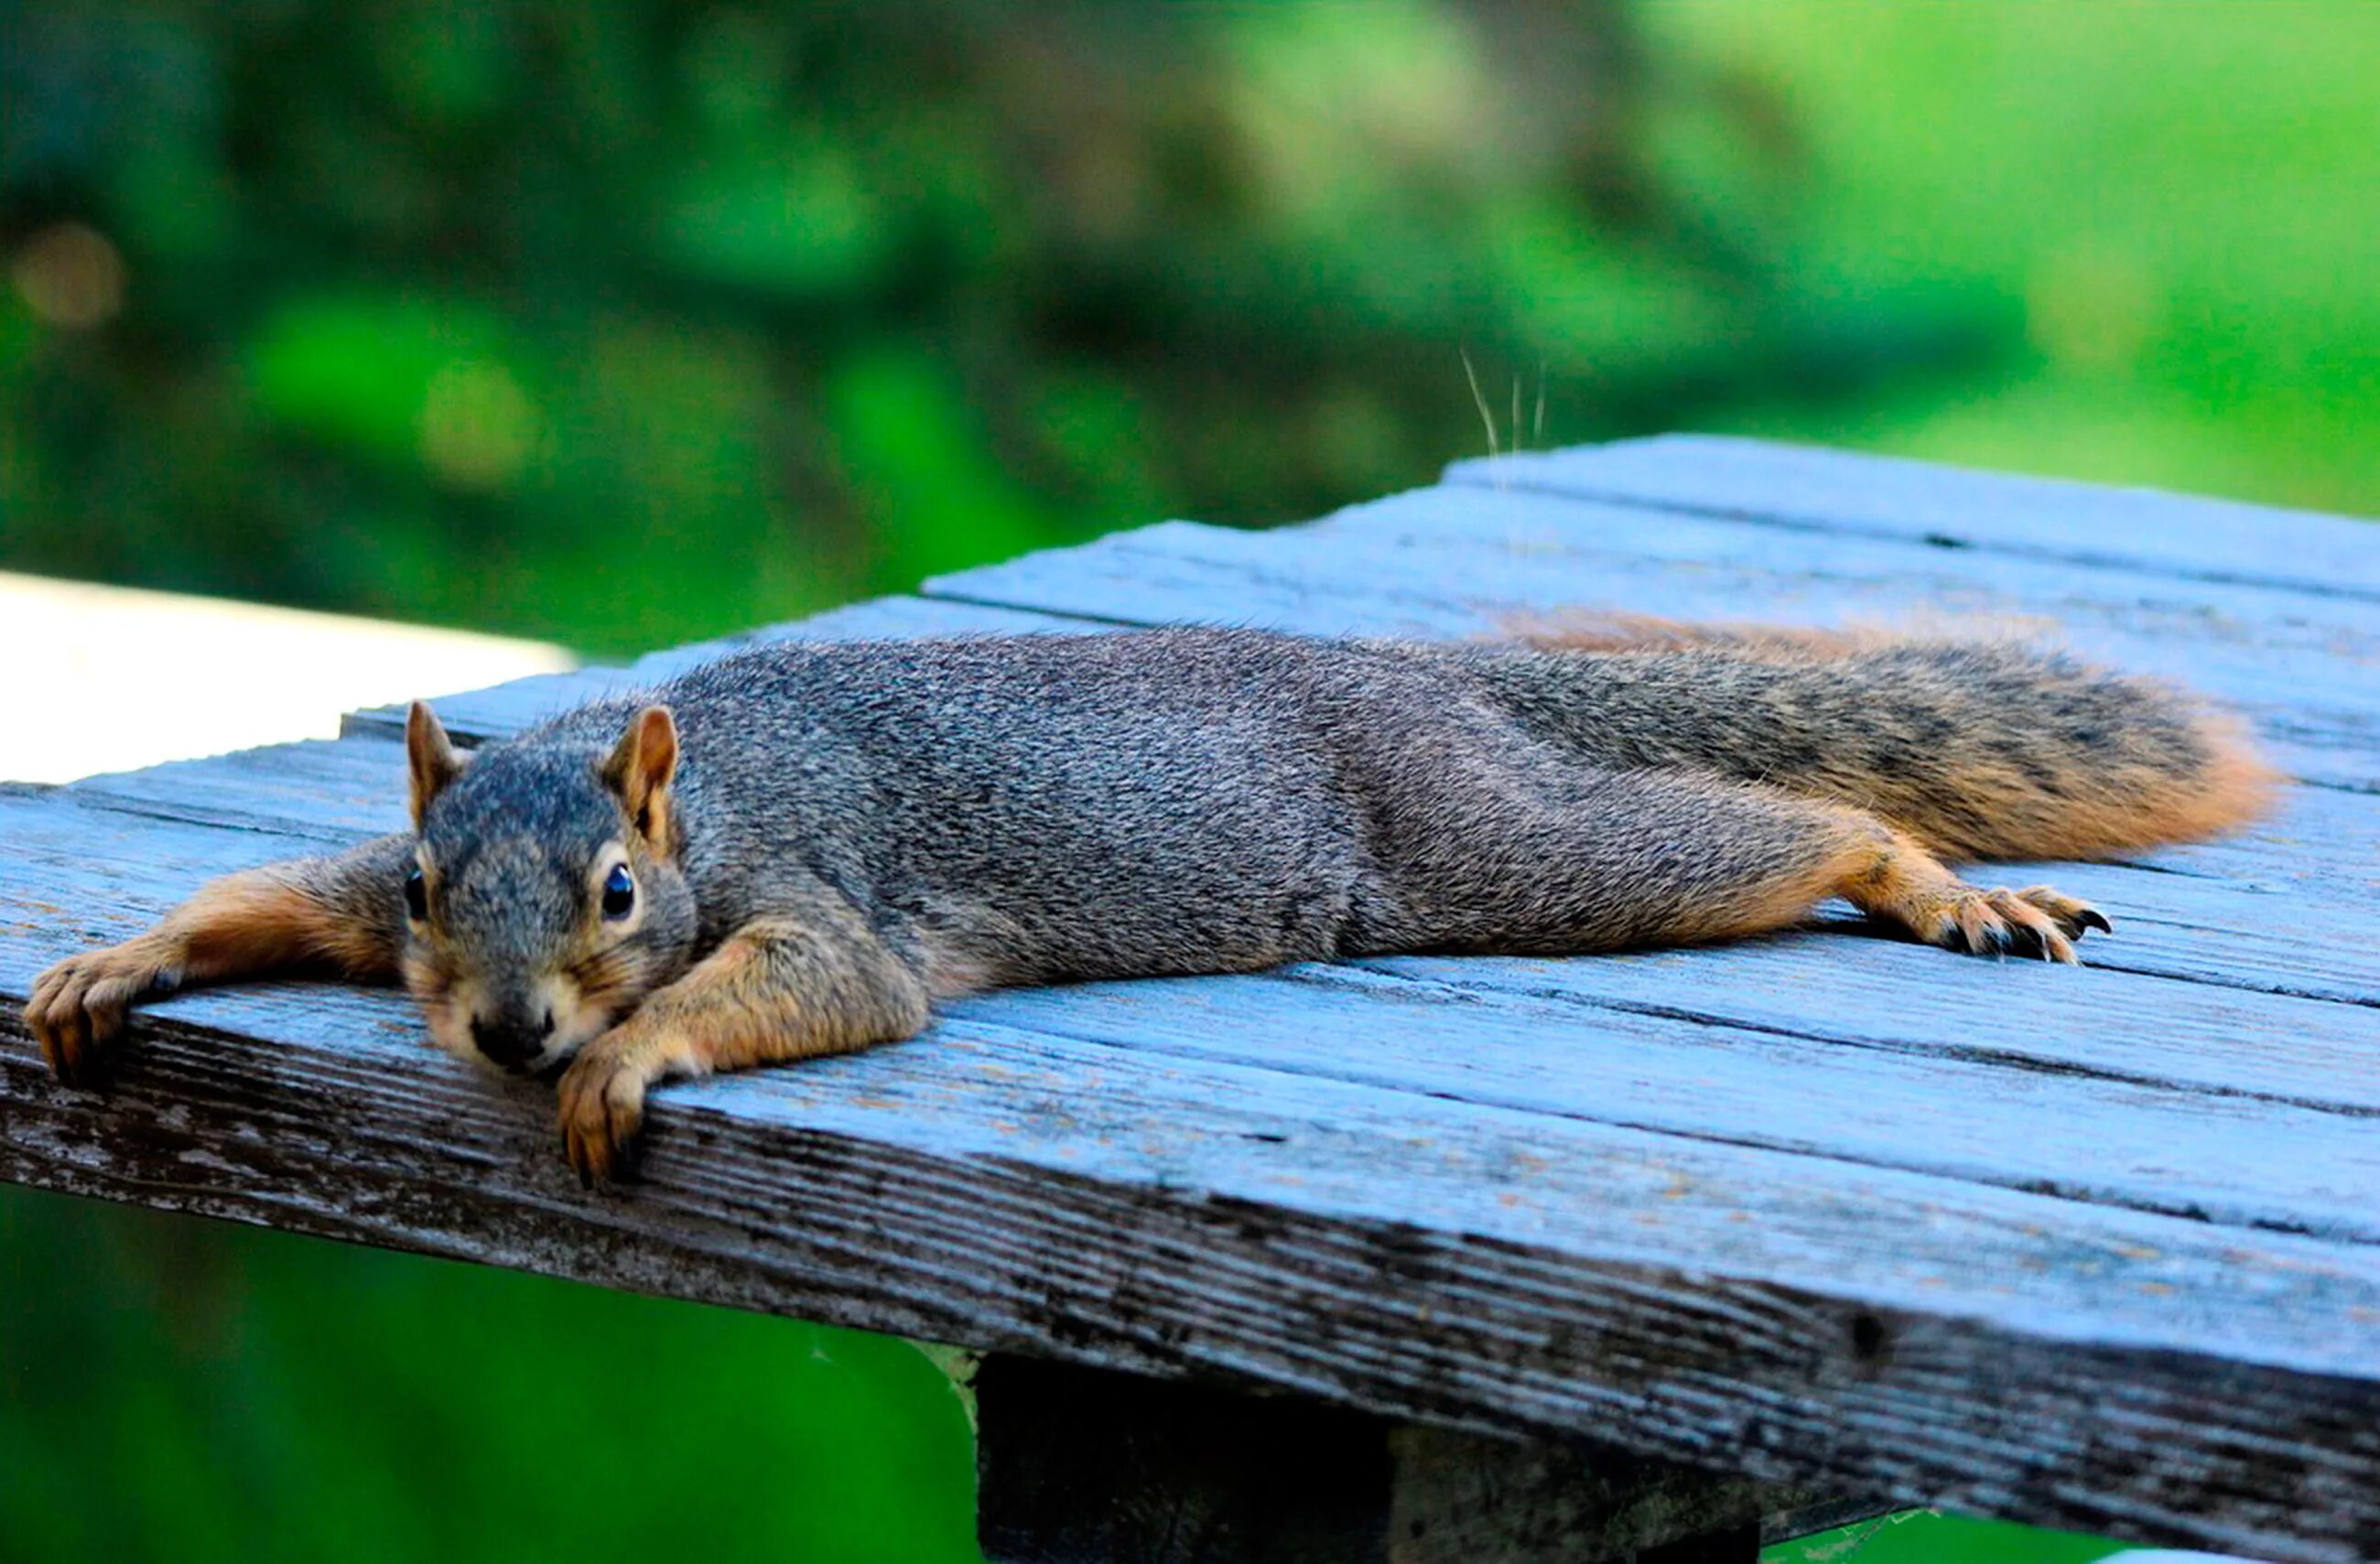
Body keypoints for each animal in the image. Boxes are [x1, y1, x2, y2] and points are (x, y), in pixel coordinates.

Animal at [26, 619, 2276, 1183]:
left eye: (616, 884)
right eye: (428, 886)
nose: (508, 1029)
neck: (696, 791)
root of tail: (1429, 684)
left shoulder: (824, 892)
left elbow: (821, 985)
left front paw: (632, 1055)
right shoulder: (353, 881)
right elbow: (261, 890)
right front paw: (114, 954)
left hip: (1498, 842)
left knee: (1785, 821)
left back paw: (1937, 886)